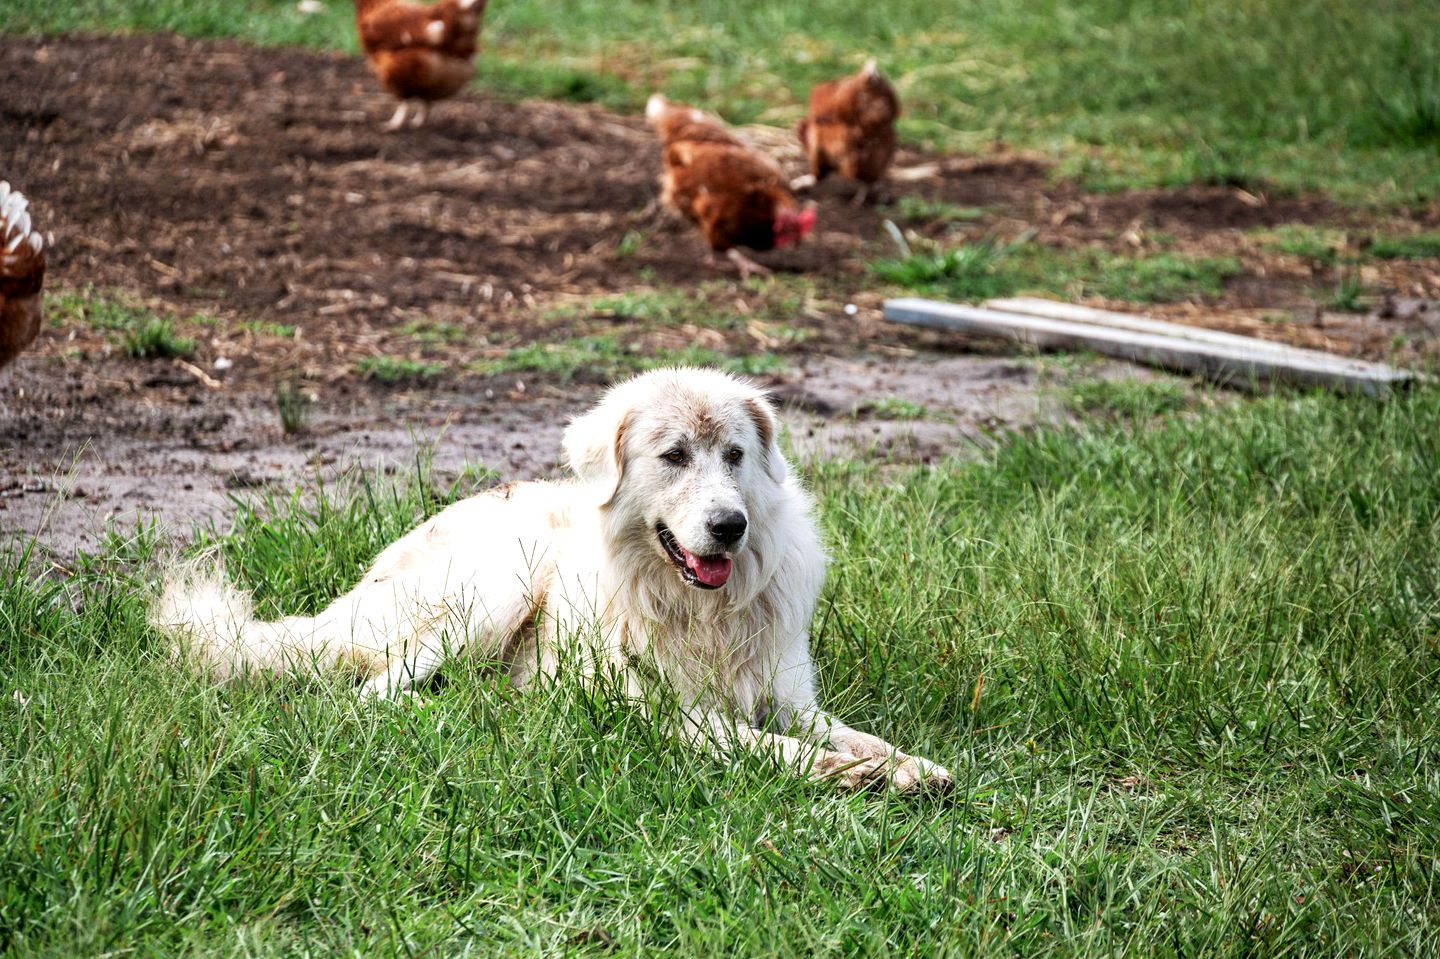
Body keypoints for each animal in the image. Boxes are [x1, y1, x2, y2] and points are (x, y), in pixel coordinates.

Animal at [154, 365, 956, 789]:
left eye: (734, 455)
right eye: (673, 456)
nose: (731, 525)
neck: (699, 610)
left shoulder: (787, 697)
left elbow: (857, 734)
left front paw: (913, 766)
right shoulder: (671, 715)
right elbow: (775, 747)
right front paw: (854, 776)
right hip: (495, 586)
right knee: (372, 691)